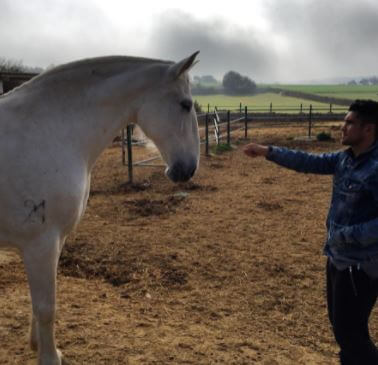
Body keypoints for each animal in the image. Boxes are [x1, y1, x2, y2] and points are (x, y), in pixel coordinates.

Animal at [0, 51, 201, 364]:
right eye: (185, 104)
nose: (189, 168)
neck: (49, 131)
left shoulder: (55, 240)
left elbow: (38, 303)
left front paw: (38, 344)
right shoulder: (40, 243)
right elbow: (46, 307)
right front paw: (49, 357)